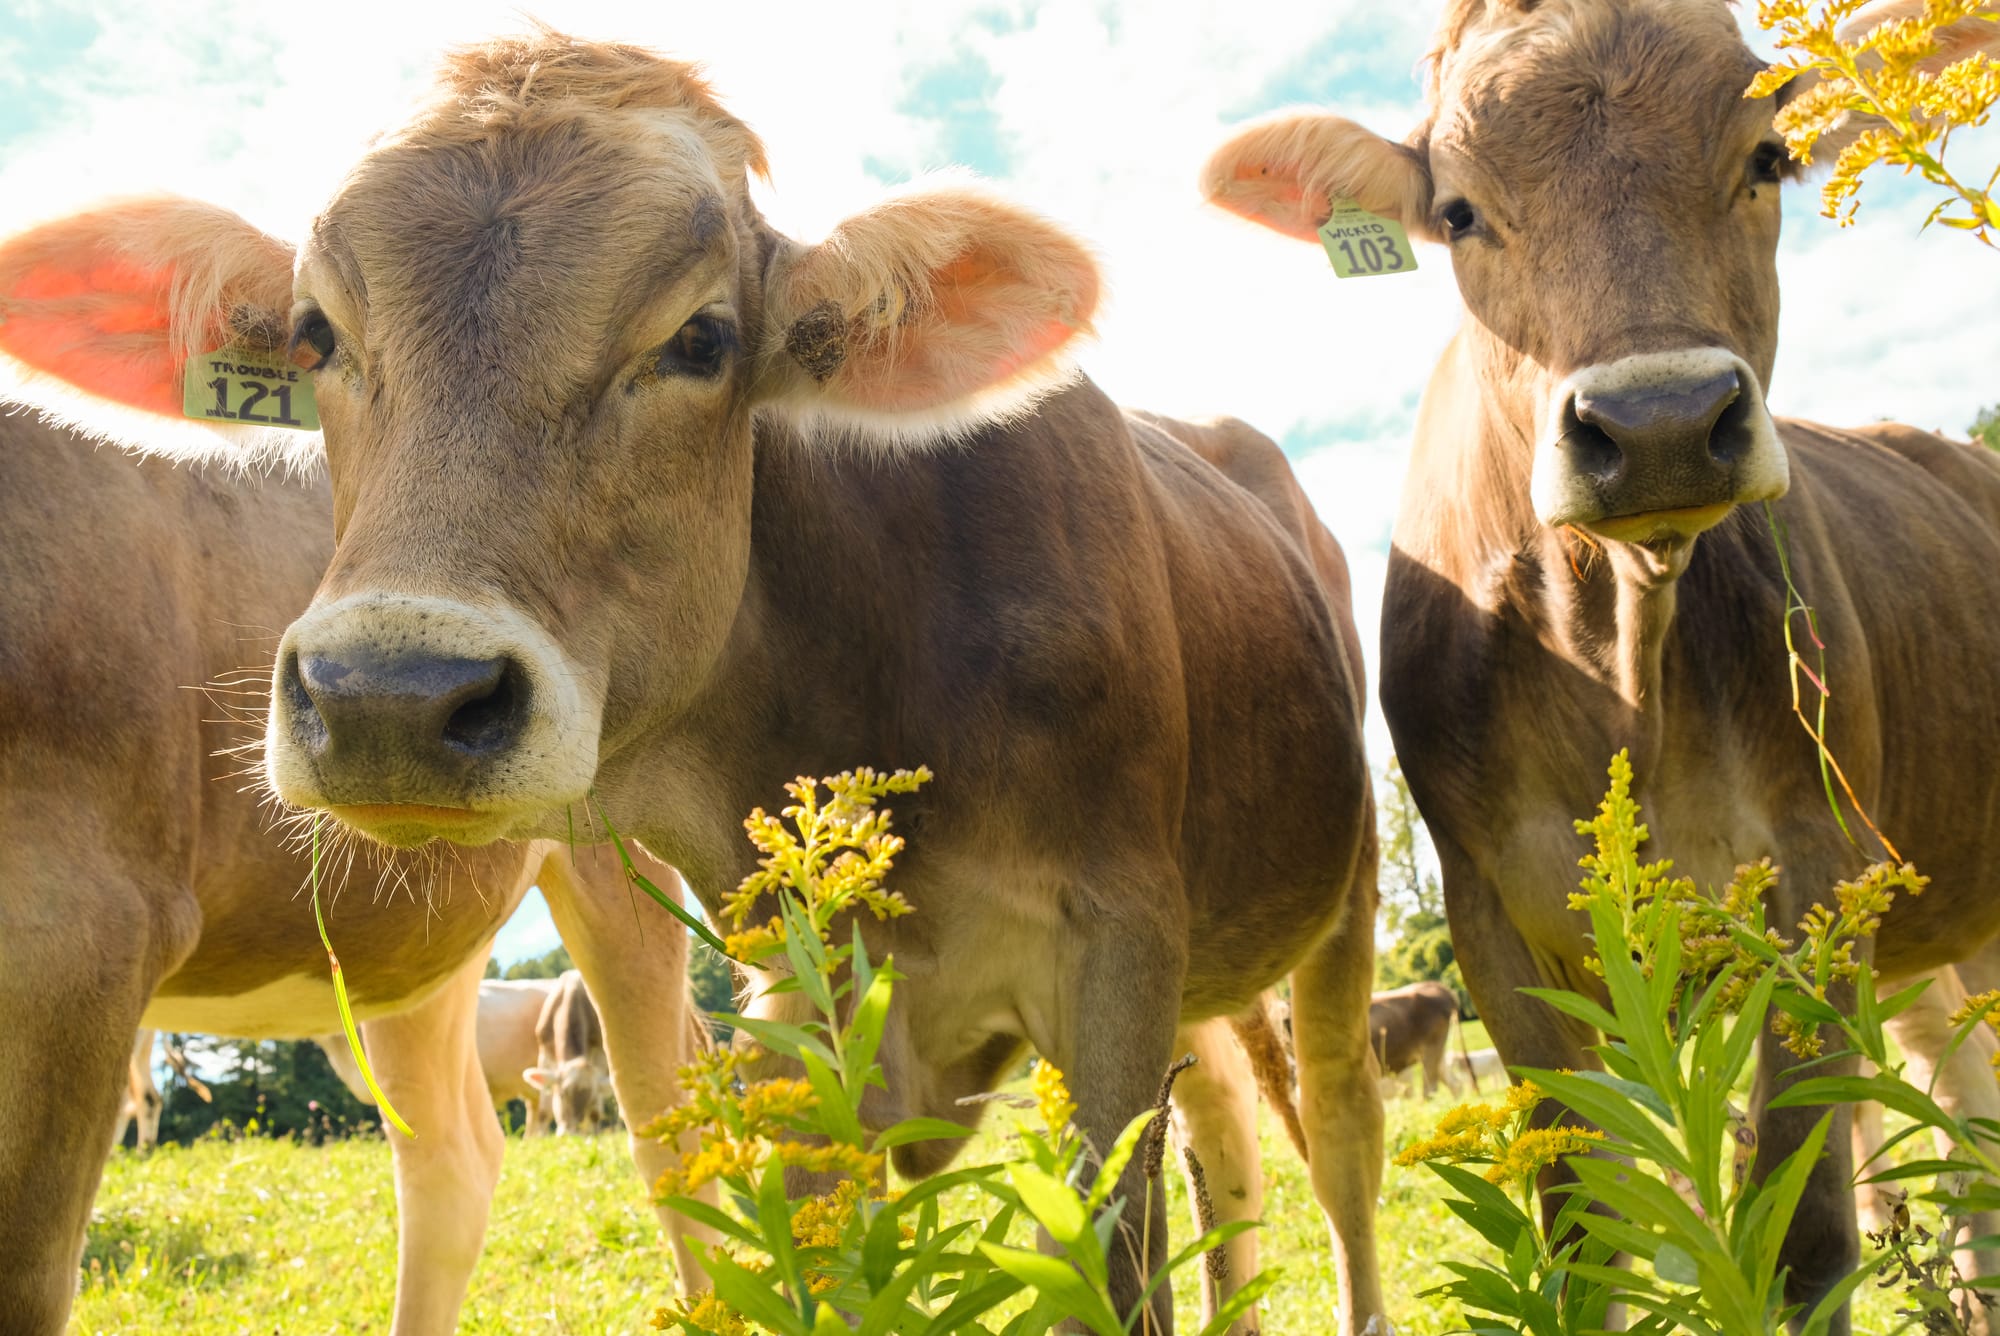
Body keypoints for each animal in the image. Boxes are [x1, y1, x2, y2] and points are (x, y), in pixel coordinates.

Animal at [1200, 0, 2000, 1325]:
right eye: (1457, 212)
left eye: (1765, 159)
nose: (1660, 423)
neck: (1618, 659)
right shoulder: (1493, 918)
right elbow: (1584, 1235)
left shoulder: (1814, 873)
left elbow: (1806, 1238)